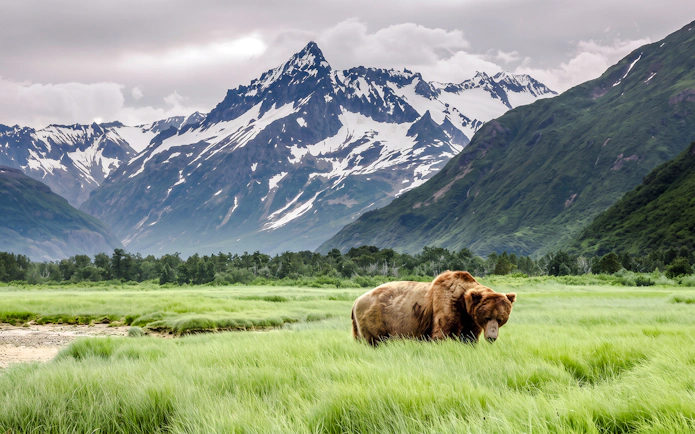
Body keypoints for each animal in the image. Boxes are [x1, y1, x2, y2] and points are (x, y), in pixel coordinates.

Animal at [351, 270, 516, 345]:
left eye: (500, 319)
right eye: (487, 317)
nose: (492, 337)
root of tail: (356, 301)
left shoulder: (470, 320)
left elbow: (469, 337)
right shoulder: (446, 305)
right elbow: (441, 333)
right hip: (376, 317)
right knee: (374, 340)